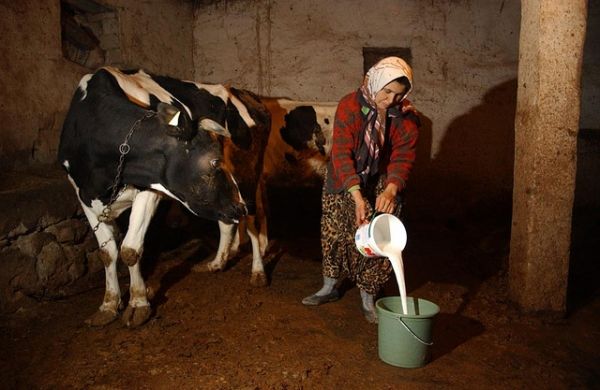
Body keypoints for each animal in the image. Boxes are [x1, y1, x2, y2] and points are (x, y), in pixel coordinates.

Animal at [59, 66, 256, 326]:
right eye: (214, 162)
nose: (240, 206)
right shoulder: (83, 195)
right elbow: (107, 252)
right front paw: (109, 304)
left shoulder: (150, 189)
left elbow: (130, 249)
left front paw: (138, 303)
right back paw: (226, 254)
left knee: (229, 221)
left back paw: (218, 262)